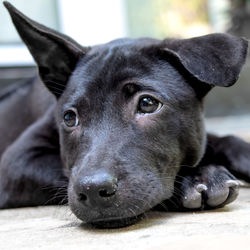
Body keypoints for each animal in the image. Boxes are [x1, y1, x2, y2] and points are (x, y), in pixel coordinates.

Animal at [0, 1, 250, 229]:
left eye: (148, 103)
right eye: (69, 118)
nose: (93, 191)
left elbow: (223, 139)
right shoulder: (17, 161)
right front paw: (195, 178)